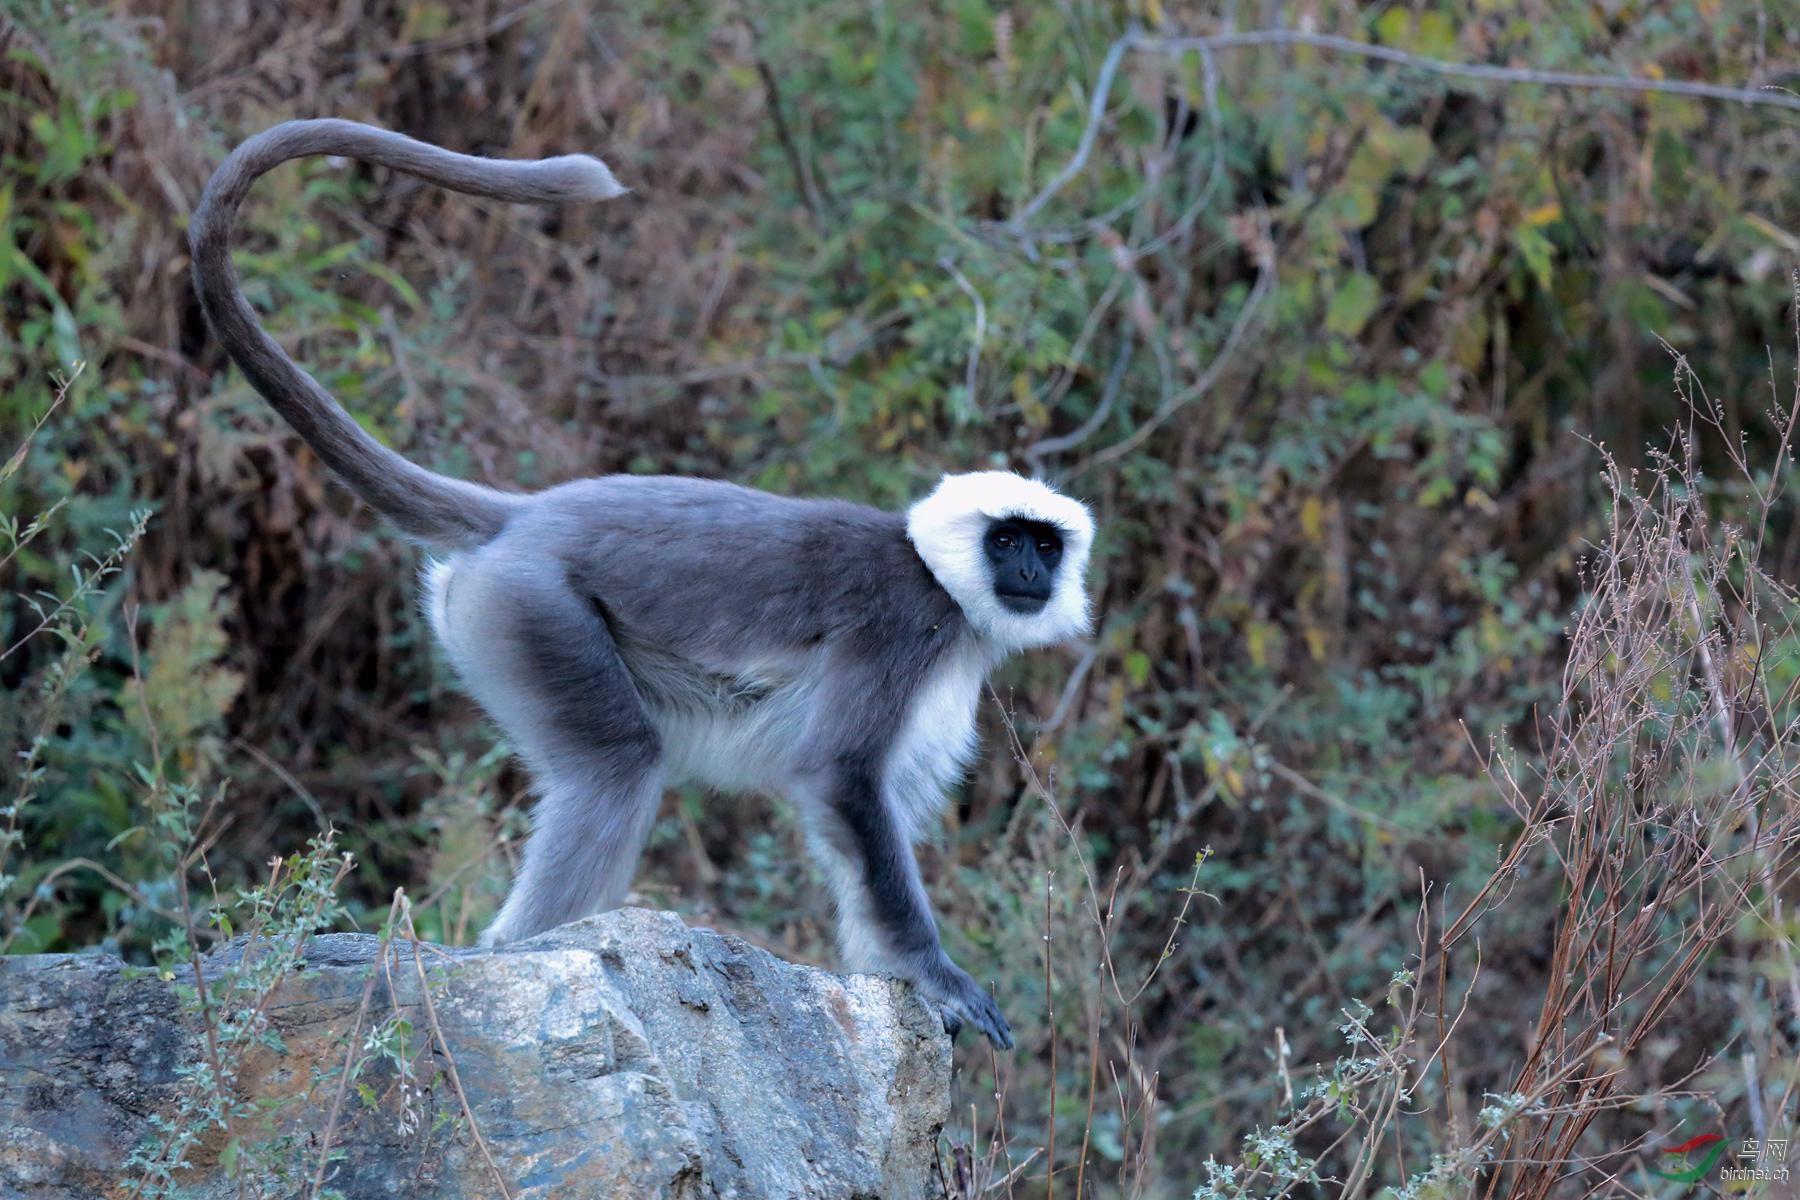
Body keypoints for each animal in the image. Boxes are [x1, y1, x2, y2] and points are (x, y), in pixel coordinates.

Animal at [197, 116, 1094, 1043]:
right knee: (619, 765)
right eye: (1005, 540)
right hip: (531, 610)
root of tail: (526, 516)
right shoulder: (903, 627)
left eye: (1044, 545)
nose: (1029, 569)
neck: (936, 576)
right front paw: (932, 974)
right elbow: (842, 780)